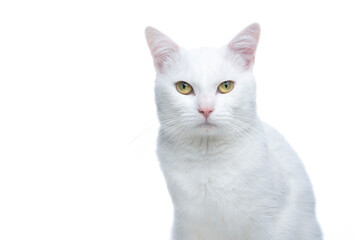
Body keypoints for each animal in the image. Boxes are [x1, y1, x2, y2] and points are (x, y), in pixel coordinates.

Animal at [145, 23, 322, 240]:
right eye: (184, 87)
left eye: (226, 86)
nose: (206, 109)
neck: (208, 161)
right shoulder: (188, 227)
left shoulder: (273, 223)